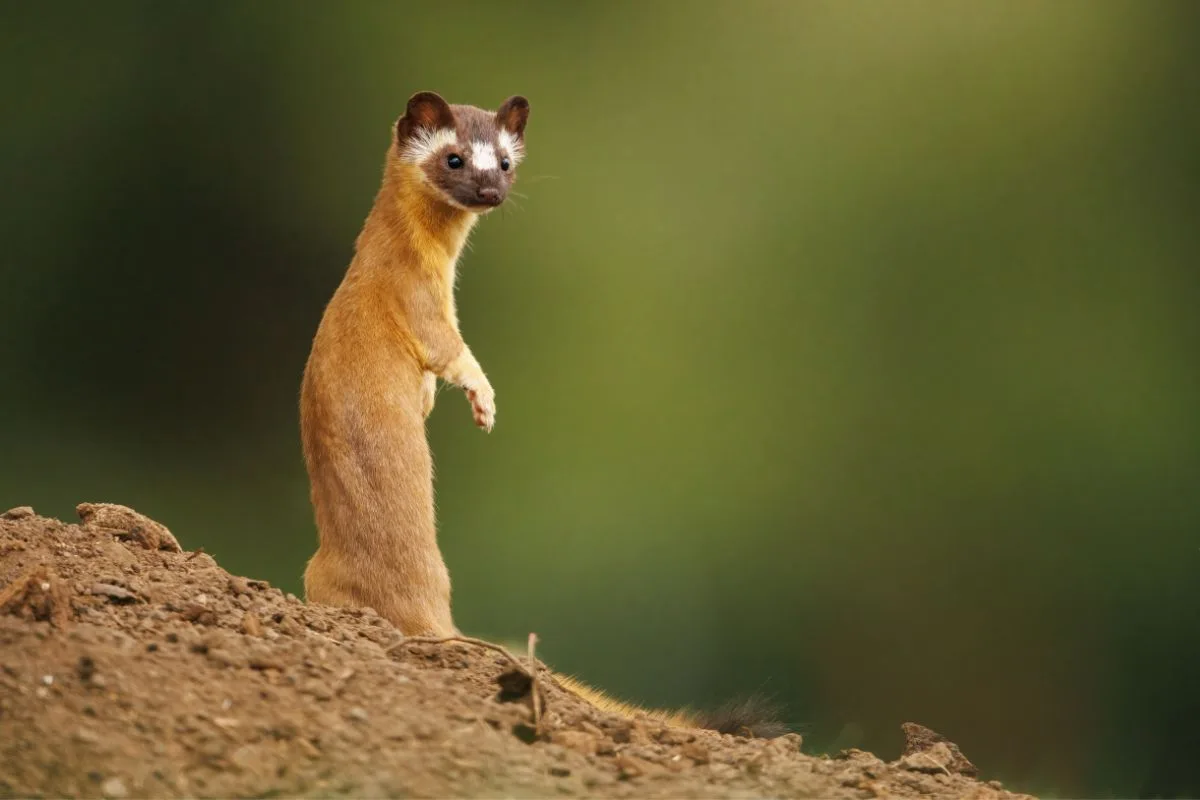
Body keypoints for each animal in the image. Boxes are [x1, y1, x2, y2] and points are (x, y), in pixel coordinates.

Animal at [304, 92, 782, 738]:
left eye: (505, 161)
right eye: (454, 158)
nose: (490, 191)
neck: (435, 268)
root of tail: (430, 612)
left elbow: (433, 376)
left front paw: (436, 402)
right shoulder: (421, 305)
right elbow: (452, 354)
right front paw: (484, 401)